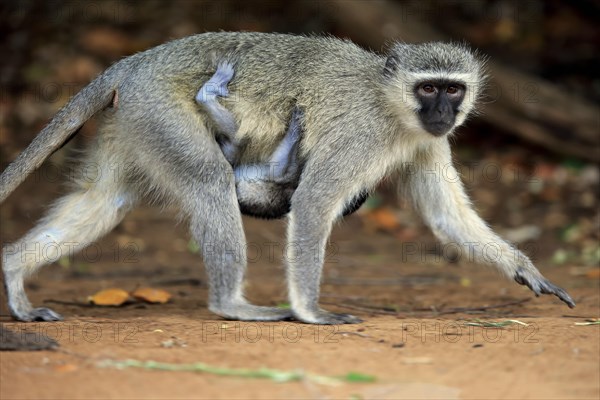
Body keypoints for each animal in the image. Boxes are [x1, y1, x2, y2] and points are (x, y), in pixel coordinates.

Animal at [0, 32, 576, 324]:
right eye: (428, 88)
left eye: (453, 89)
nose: (442, 112)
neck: (392, 107)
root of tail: (136, 61)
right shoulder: (360, 135)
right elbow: (316, 200)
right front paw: (310, 311)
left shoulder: (427, 141)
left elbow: (445, 217)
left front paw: (525, 269)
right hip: (159, 107)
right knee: (209, 181)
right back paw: (230, 305)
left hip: (136, 118)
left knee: (104, 200)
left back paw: (13, 271)